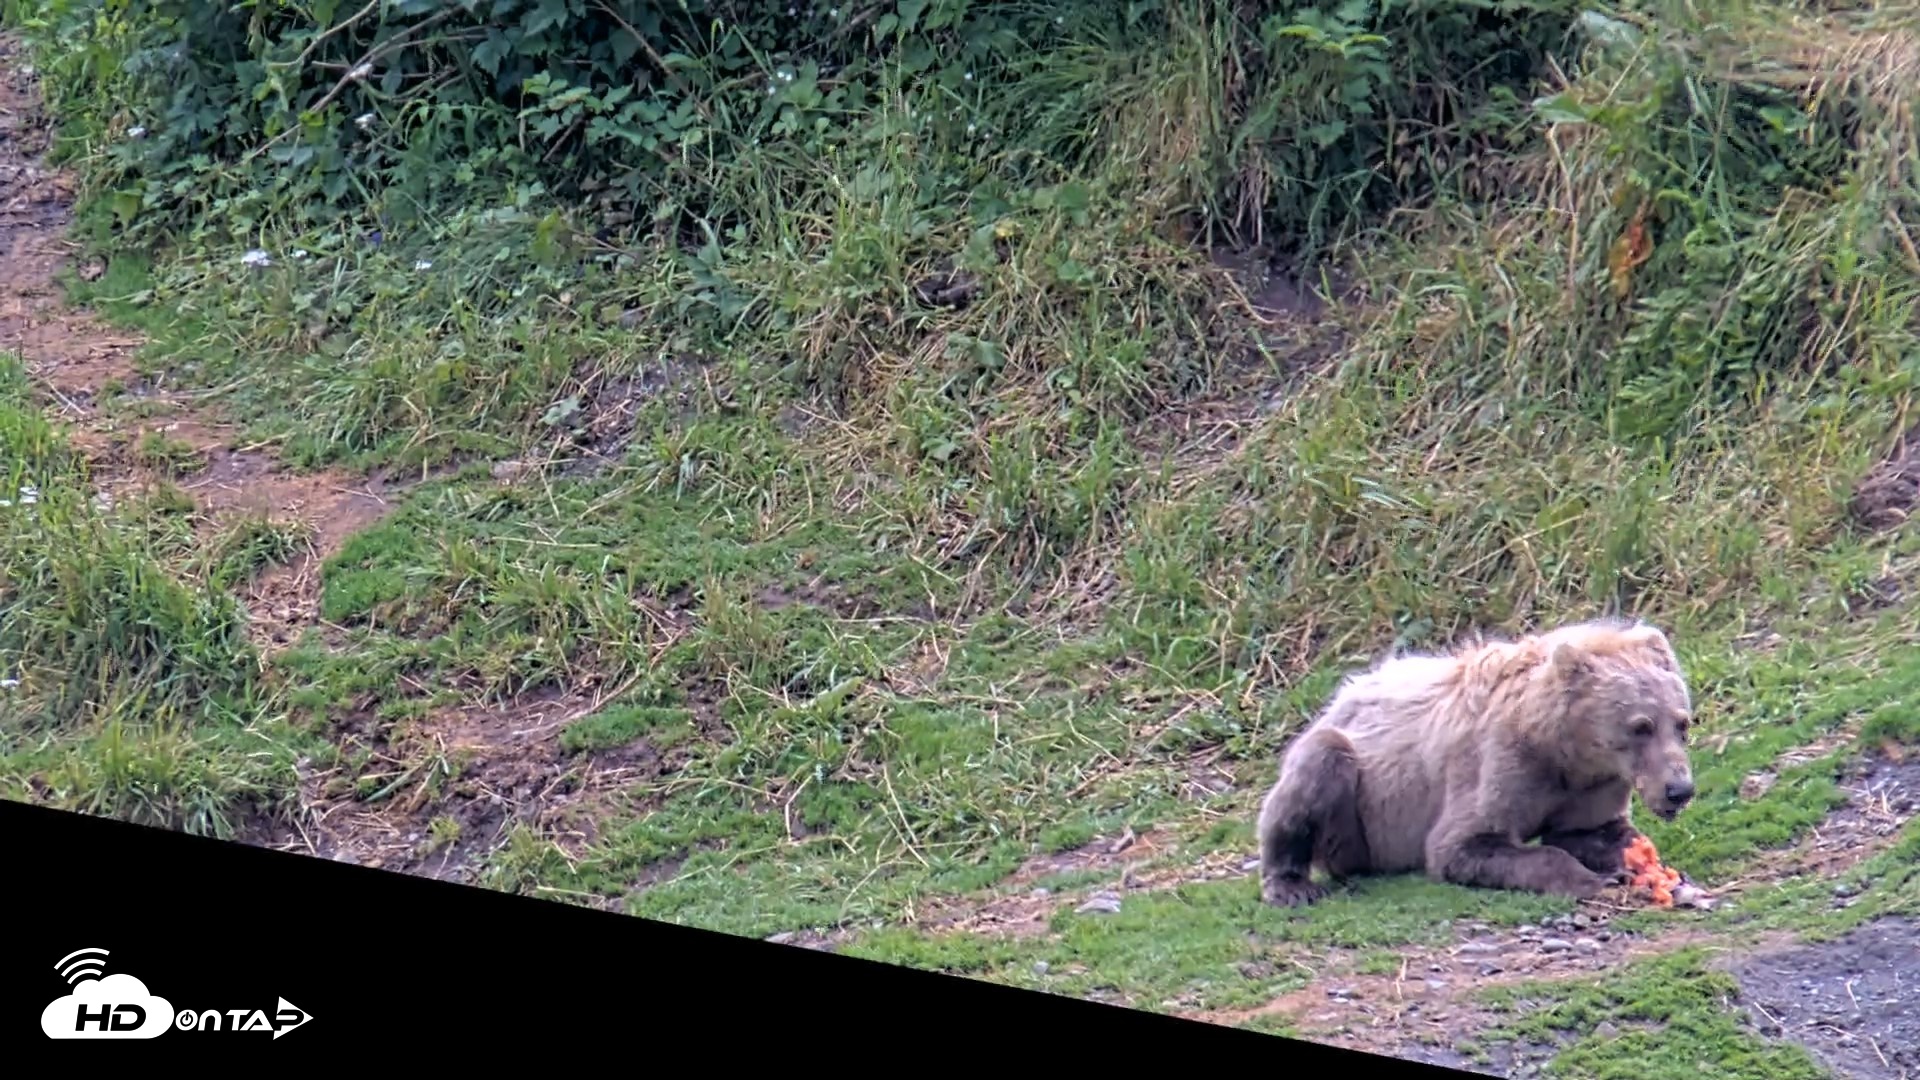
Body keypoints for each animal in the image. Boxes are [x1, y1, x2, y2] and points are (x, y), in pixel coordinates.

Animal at [1255, 616, 1697, 908]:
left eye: (1681, 723)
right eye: (1640, 727)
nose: (1679, 789)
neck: (1559, 744)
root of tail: (1342, 694)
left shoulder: (1591, 781)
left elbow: (1593, 830)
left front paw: (1645, 866)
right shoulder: (1500, 760)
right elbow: (1464, 843)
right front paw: (1595, 881)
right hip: (1360, 814)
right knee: (1315, 770)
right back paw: (1292, 885)